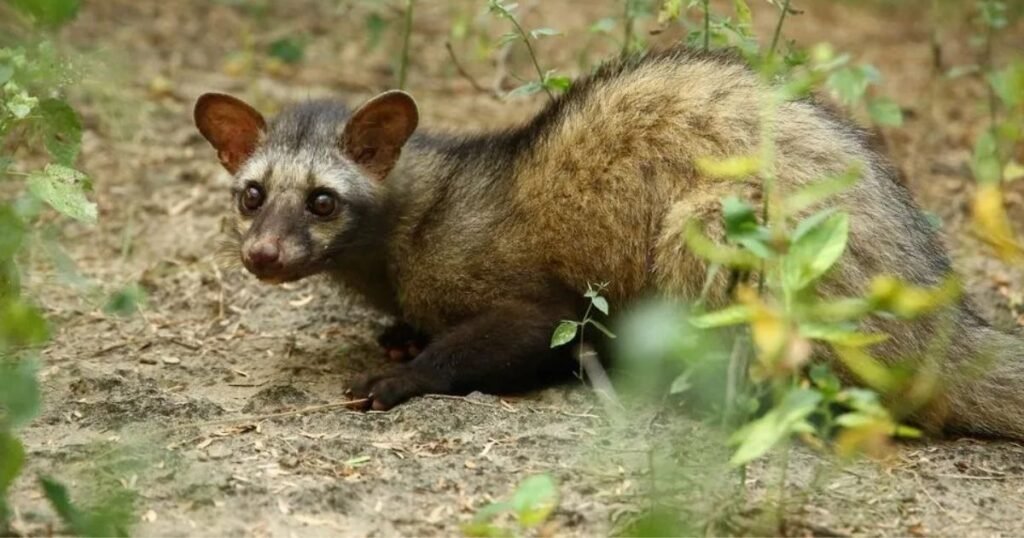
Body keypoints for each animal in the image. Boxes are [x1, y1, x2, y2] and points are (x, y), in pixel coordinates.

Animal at [194, 47, 1024, 439]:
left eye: (323, 199)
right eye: (251, 193)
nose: (262, 256)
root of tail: (945, 321)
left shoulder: (540, 310)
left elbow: (468, 352)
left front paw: (394, 377)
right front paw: (397, 339)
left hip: (707, 227)